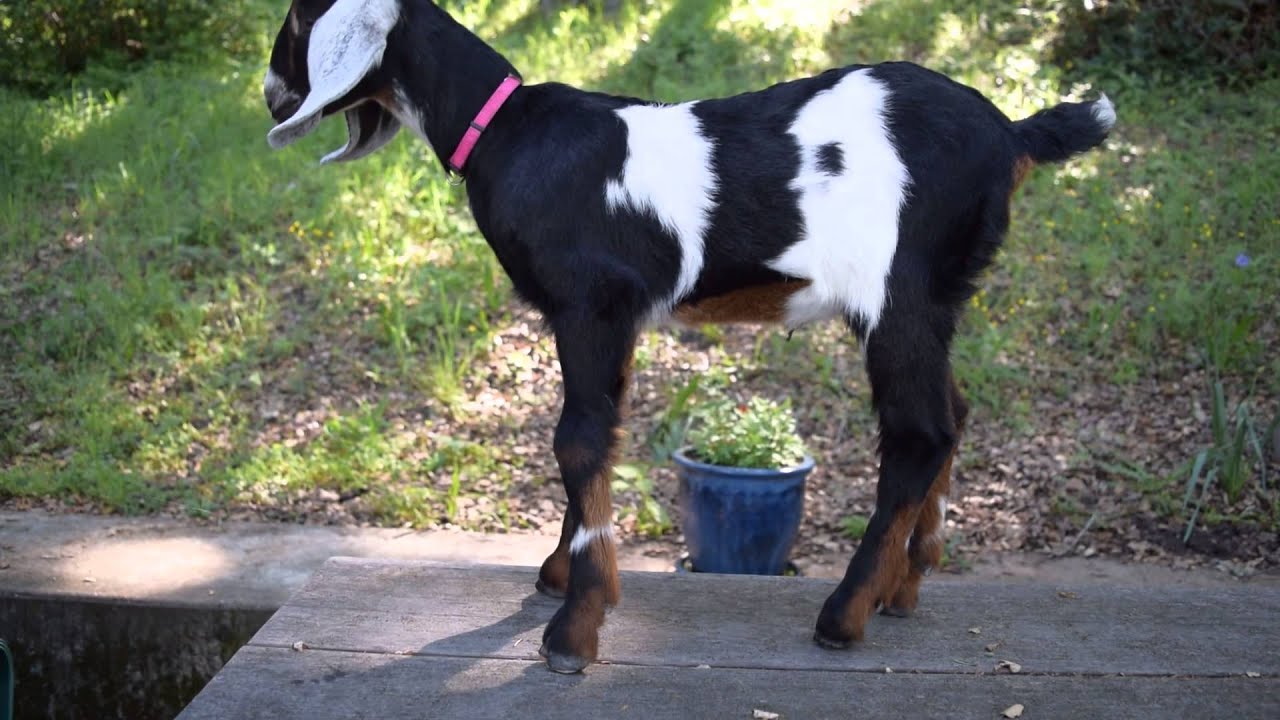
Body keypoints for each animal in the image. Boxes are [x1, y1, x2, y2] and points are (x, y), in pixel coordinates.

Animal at [264, 0, 1115, 674]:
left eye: (300, 19)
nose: (271, 92)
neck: (508, 131)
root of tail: (1010, 132)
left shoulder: (591, 304)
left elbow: (577, 441)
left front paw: (573, 629)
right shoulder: (611, 320)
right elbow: (602, 434)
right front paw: (564, 574)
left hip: (899, 292)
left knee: (919, 432)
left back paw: (844, 614)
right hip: (937, 299)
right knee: (954, 413)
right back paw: (904, 585)